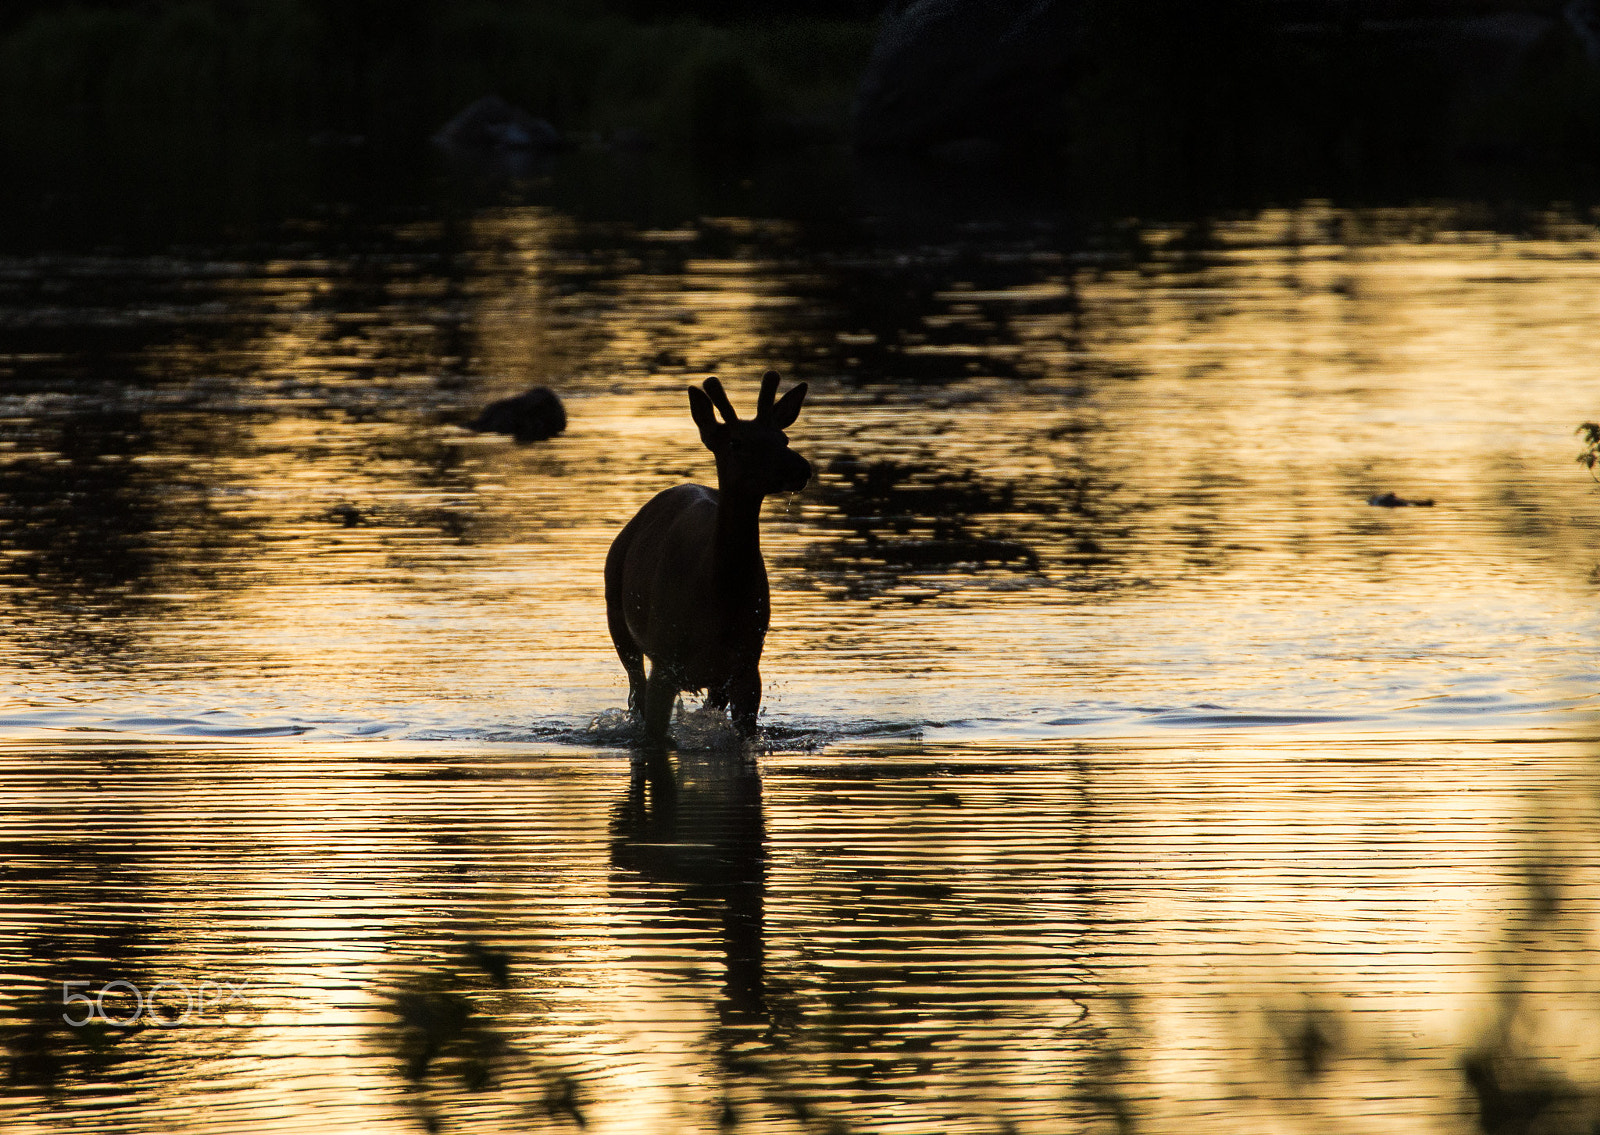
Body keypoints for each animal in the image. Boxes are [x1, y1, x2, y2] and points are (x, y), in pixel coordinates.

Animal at [605, 371, 810, 744]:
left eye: (783, 437)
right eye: (736, 443)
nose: (801, 467)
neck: (718, 600)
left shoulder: (747, 665)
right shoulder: (665, 659)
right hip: (617, 619)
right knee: (634, 692)